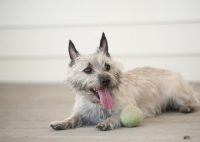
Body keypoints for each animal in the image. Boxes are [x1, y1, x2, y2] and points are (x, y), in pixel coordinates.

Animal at [50, 32, 200, 130]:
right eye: (87, 69)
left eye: (107, 66)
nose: (106, 80)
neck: (99, 105)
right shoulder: (81, 112)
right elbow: (74, 117)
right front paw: (62, 122)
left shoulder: (126, 108)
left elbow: (117, 116)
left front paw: (107, 122)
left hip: (176, 95)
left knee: (194, 101)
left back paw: (188, 107)